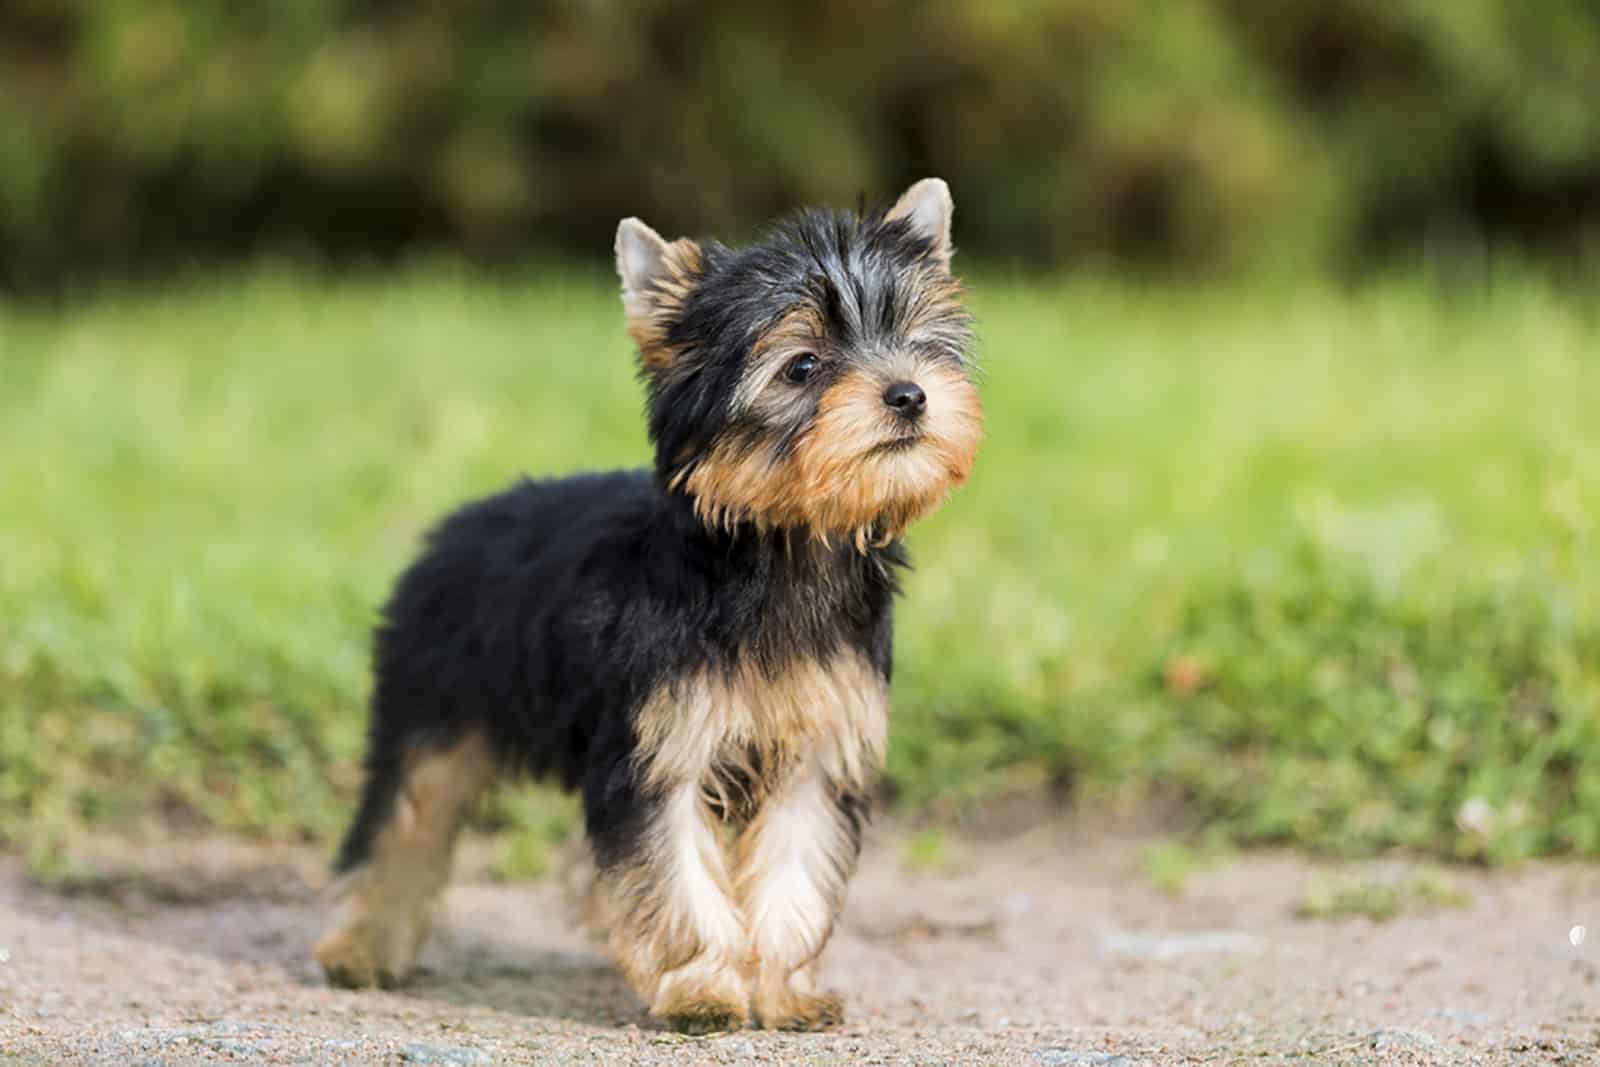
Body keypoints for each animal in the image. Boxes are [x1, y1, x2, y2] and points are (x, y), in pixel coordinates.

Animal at [312, 179, 979, 1030]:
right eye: (802, 366)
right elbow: (674, 868)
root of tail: (457, 524)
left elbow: (793, 870)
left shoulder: (818, 746)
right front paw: (703, 986)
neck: (779, 544)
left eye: (917, 340)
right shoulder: (660, 744)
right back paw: (362, 946)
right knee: (405, 818)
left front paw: (780, 989)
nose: (910, 395)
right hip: (429, 698)